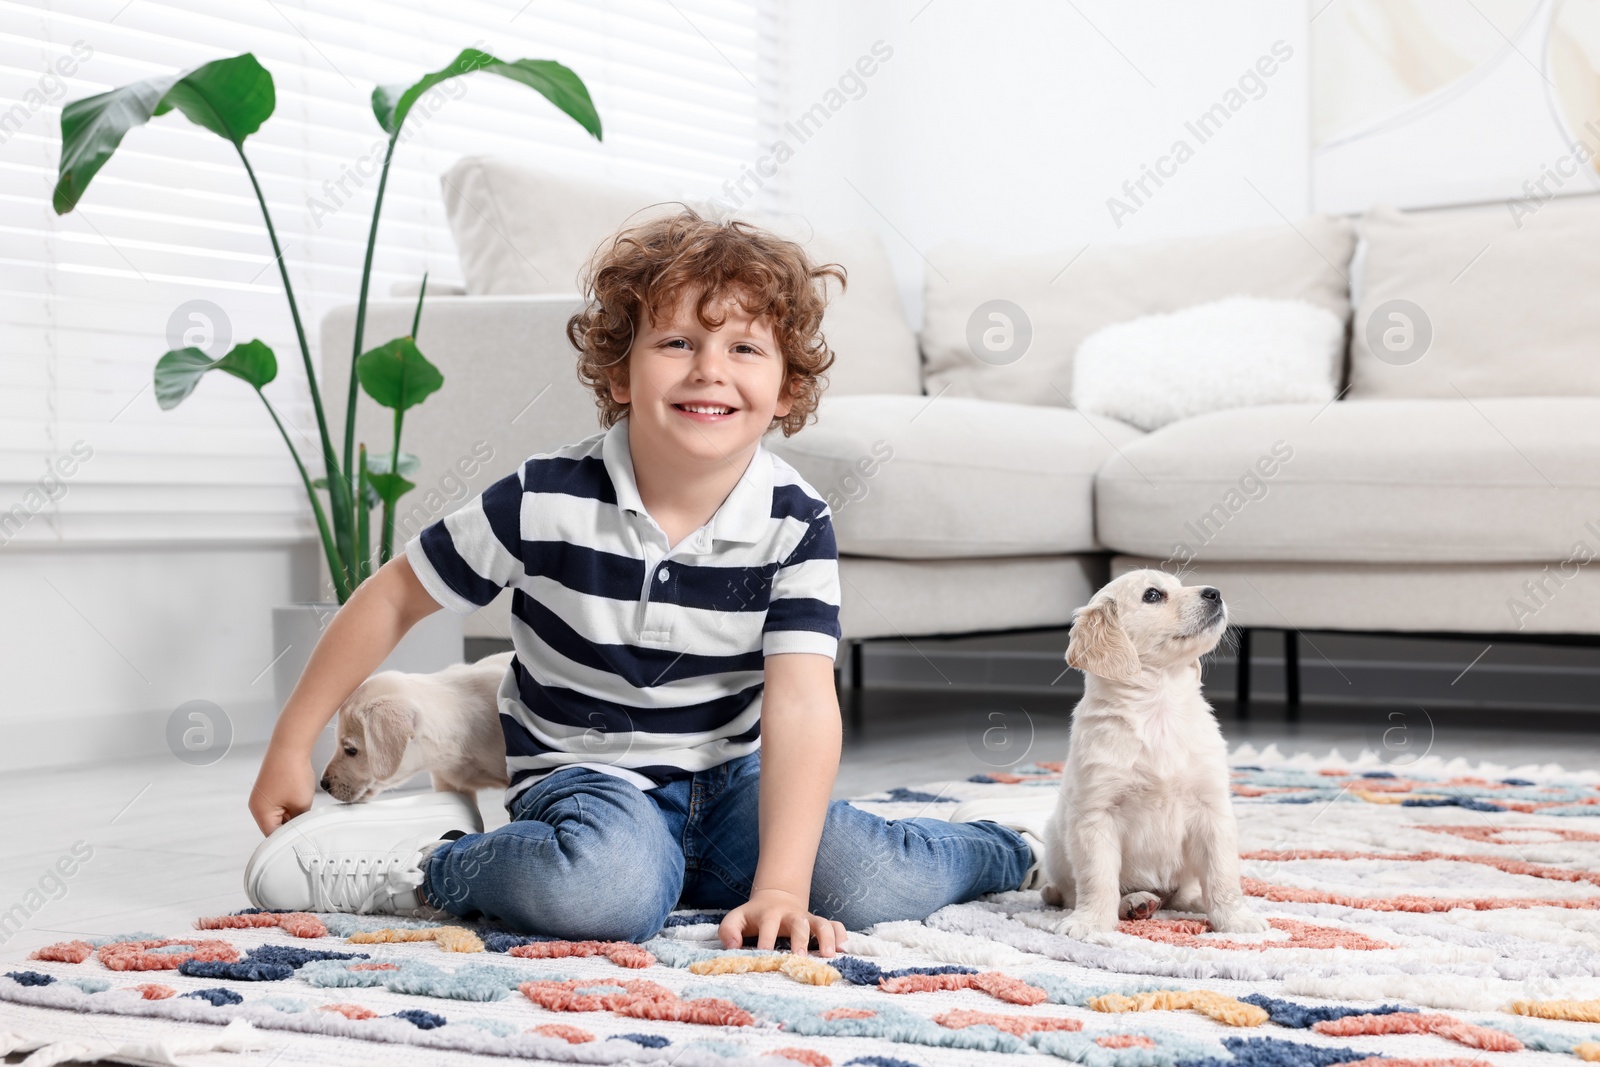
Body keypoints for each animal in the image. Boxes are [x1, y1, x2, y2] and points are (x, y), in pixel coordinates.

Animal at [1036, 572, 1273, 940]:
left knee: (1185, 894)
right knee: (1073, 892)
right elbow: (1097, 878)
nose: (1215, 593)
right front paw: (1090, 923)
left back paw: (1193, 902)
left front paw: (1236, 919)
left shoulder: (1212, 810)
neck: (1159, 705)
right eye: (1152, 595)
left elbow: (1222, 874)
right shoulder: (1096, 814)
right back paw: (1136, 903)